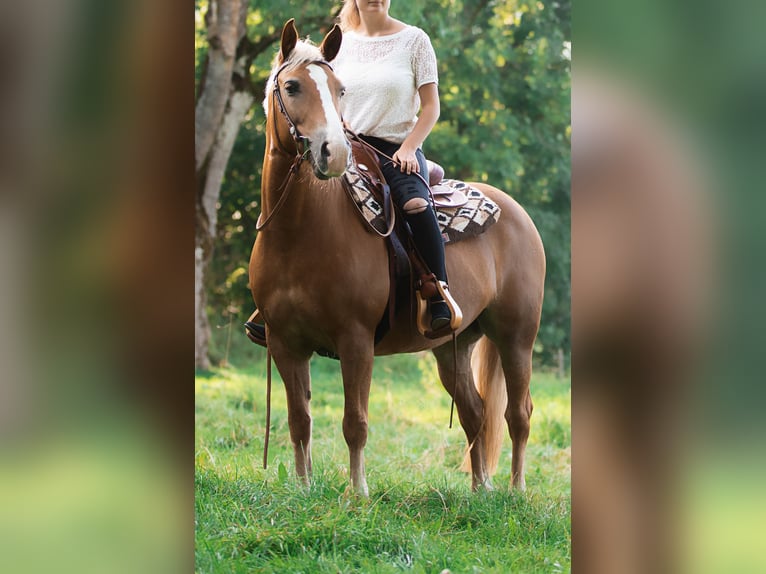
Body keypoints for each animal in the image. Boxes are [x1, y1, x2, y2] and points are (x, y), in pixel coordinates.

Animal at [249, 19, 546, 496]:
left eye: (339, 90)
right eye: (292, 86)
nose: (334, 152)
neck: (299, 233)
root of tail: (513, 210)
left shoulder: (355, 340)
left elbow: (355, 423)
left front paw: (358, 493)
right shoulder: (284, 343)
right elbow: (299, 421)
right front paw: (304, 488)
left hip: (516, 336)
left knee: (517, 414)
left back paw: (516, 490)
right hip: (453, 347)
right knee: (475, 412)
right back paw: (481, 489)